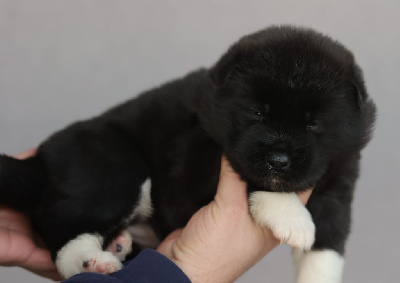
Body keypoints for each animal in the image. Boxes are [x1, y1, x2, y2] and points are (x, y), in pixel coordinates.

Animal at [0, 26, 376, 282]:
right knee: (64, 226)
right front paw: (291, 216)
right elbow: (251, 175)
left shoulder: (339, 184)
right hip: (111, 167)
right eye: (256, 113)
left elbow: (327, 246)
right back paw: (94, 262)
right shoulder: (195, 163)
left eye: (313, 124)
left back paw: (117, 246)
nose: (279, 162)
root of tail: (41, 160)